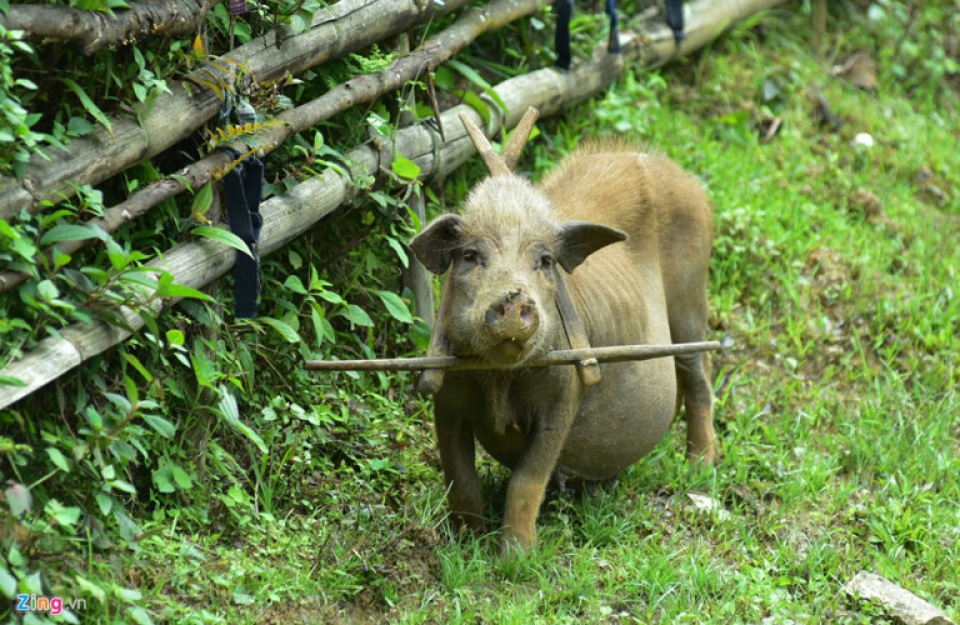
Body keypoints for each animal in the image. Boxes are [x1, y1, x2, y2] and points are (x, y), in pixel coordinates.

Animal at [408, 112, 716, 552]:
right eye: (470, 256)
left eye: (544, 261)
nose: (514, 298)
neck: (500, 380)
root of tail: (680, 174)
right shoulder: (446, 398)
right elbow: (459, 478)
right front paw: (464, 544)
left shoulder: (563, 397)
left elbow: (526, 481)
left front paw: (515, 558)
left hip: (691, 297)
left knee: (699, 373)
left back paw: (700, 469)